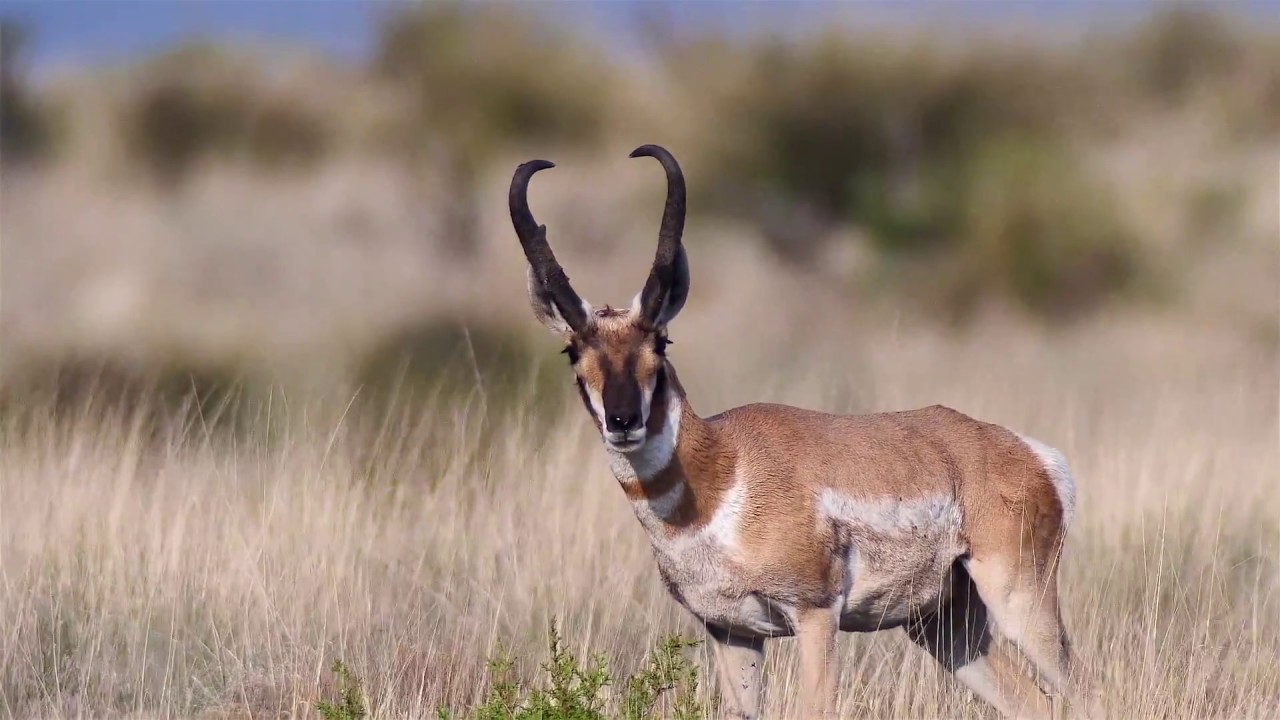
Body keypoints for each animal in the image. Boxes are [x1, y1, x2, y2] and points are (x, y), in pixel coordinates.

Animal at [509, 142, 1100, 712]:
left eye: (661, 341)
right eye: (572, 350)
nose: (623, 421)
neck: (721, 472)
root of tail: (1028, 452)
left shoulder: (815, 615)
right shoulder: (732, 633)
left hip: (1018, 601)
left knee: (1084, 692)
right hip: (944, 629)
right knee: (1034, 702)